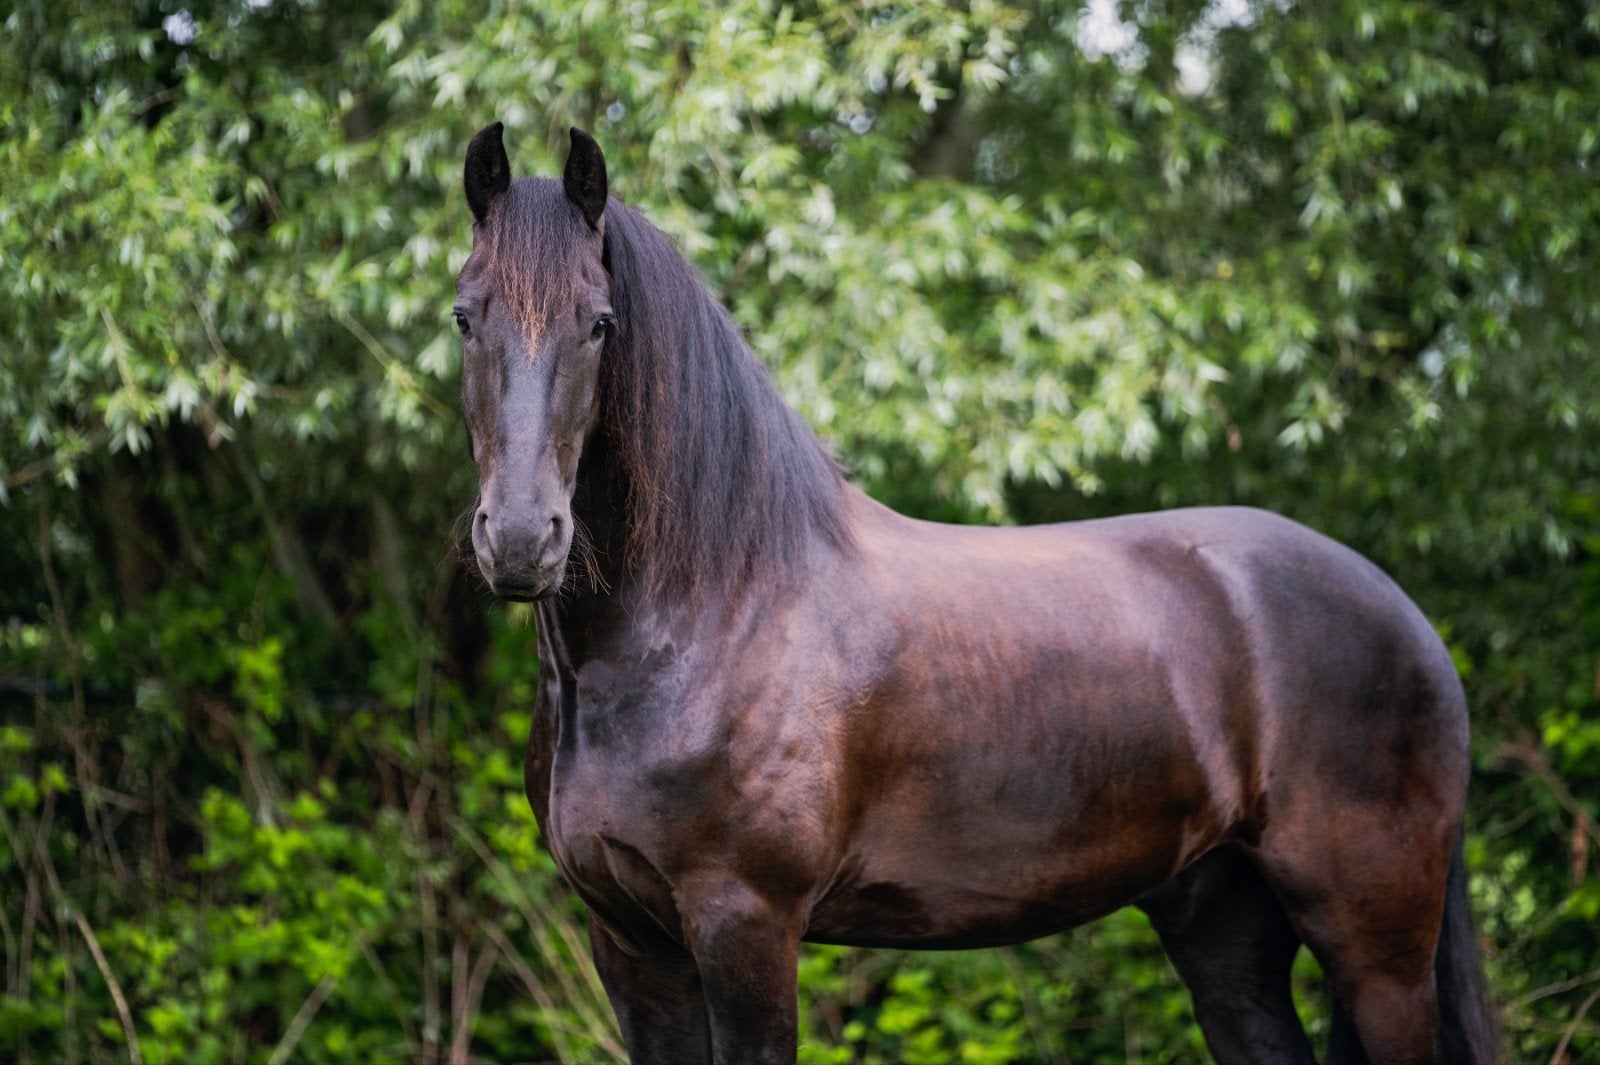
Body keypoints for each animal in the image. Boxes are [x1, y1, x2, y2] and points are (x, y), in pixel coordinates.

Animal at [451, 122, 1496, 1065]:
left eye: (600, 323)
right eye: (465, 316)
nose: (521, 538)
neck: (706, 617)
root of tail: (1405, 617)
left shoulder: (745, 926)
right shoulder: (632, 944)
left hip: (1377, 944)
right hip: (1223, 926)